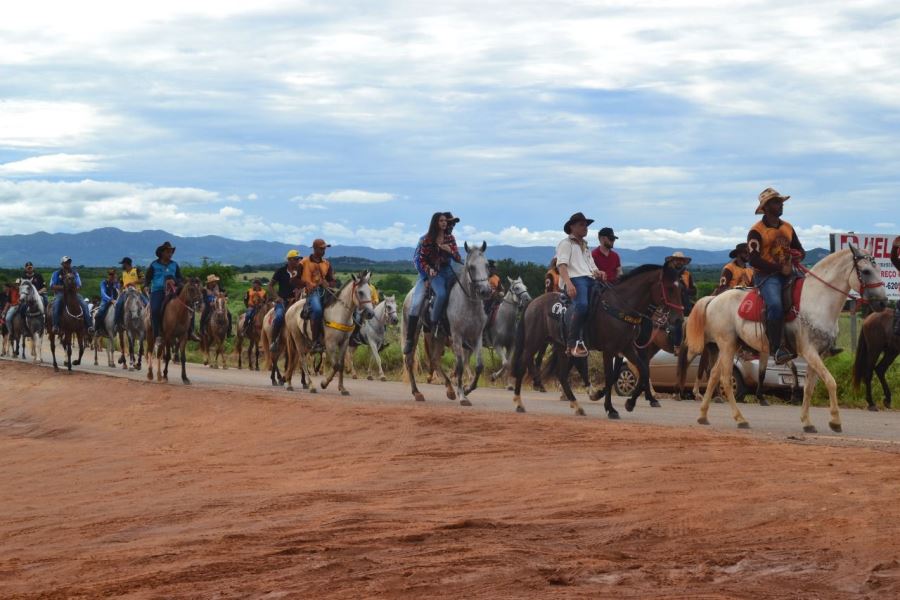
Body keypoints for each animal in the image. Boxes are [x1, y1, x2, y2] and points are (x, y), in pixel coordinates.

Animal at [404, 241, 496, 406]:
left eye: (486, 265)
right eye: (471, 267)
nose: (486, 291)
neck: (468, 303)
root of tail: (410, 294)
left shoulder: (477, 337)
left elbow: (479, 366)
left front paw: (467, 389)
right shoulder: (457, 336)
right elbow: (459, 365)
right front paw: (462, 395)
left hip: (439, 336)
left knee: (434, 359)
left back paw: (449, 390)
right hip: (414, 331)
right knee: (409, 360)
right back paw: (417, 392)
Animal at [512, 264, 684, 420]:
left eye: (680, 288)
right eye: (669, 288)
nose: (678, 319)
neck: (619, 307)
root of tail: (533, 302)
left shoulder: (627, 348)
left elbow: (643, 371)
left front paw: (630, 403)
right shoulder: (609, 350)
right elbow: (610, 376)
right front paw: (610, 409)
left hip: (562, 347)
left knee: (562, 375)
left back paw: (577, 406)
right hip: (533, 342)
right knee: (522, 366)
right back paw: (519, 403)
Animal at [688, 246, 884, 434]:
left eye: (879, 269)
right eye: (866, 271)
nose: (883, 302)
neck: (816, 301)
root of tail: (714, 299)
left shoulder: (818, 355)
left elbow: (809, 388)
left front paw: (807, 422)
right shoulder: (809, 351)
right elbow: (830, 382)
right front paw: (835, 421)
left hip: (732, 345)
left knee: (714, 374)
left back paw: (703, 415)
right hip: (727, 345)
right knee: (726, 379)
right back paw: (740, 419)